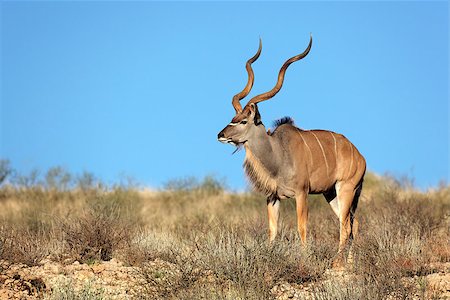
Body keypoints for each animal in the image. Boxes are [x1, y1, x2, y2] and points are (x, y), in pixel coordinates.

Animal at [217, 36, 366, 266]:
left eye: (243, 121)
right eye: (232, 118)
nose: (220, 135)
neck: (278, 154)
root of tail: (360, 156)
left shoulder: (301, 193)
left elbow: (301, 227)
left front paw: (304, 259)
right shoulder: (272, 197)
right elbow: (272, 231)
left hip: (346, 188)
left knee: (345, 225)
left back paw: (337, 264)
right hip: (331, 193)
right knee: (353, 224)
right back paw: (349, 263)